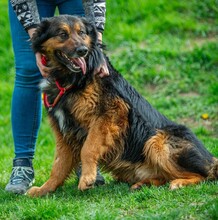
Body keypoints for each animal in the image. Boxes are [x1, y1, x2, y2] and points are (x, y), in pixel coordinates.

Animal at [28, 15, 217, 198]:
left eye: (82, 33)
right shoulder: (64, 133)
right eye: (62, 34)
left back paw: (180, 182)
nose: (82, 50)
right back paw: (143, 184)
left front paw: (87, 177)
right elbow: (58, 167)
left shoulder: (111, 114)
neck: (72, 79)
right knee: (167, 177)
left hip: (157, 142)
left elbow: (88, 148)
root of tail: (210, 158)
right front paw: (45, 189)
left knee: (205, 175)